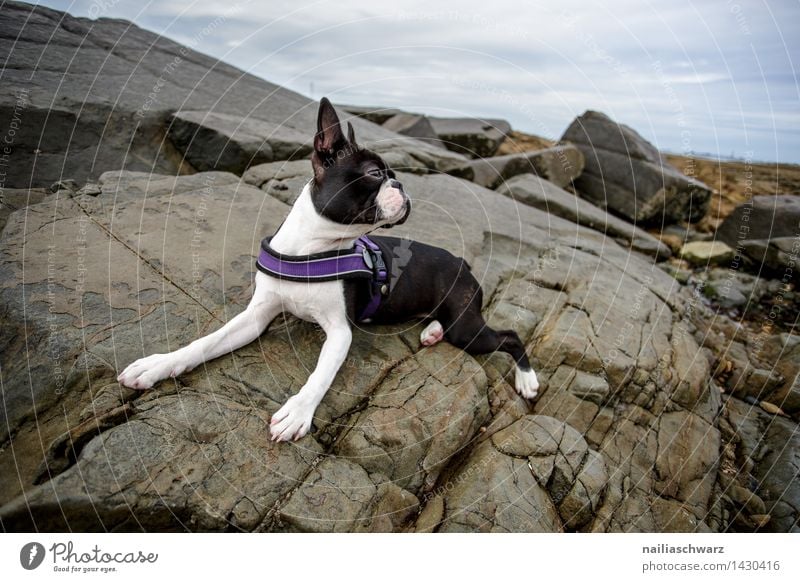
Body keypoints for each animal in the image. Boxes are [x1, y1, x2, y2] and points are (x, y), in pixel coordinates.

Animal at [117, 98, 536, 442]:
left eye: (390, 175)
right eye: (374, 173)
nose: (402, 184)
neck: (312, 250)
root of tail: (462, 261)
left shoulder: (339, 332)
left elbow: (320, 375)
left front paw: (297, 413)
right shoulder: (256, 316)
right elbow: (205, 342)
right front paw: (158, 364)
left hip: (467, 327)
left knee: (511, 337)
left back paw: (528, 380)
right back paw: (432, 332)